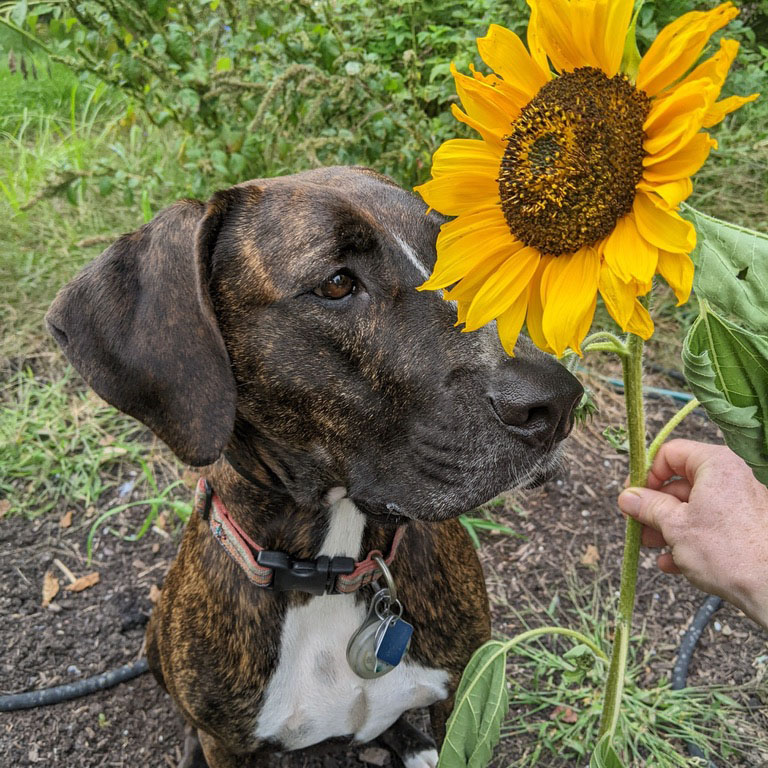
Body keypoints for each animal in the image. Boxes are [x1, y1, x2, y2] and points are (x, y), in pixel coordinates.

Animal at [46, 165, 584, 764]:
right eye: (336, 284)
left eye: (451, 252)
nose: (558, 403)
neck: (331, 568)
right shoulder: (228, 744)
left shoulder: (464, 691)